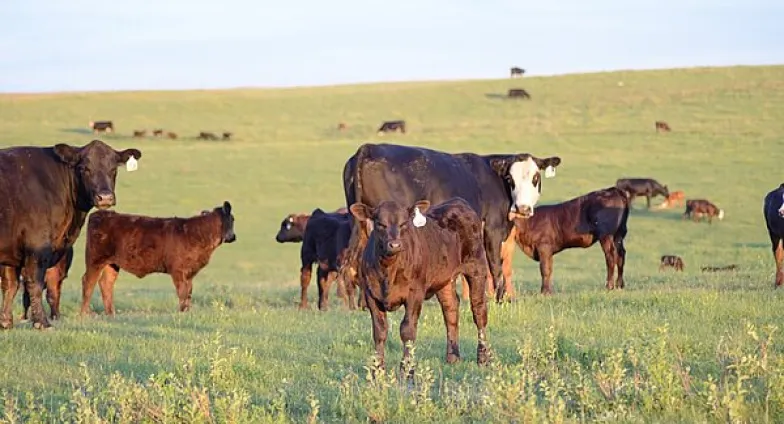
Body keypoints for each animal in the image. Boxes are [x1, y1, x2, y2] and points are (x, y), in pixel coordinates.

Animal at [0, 139, 142, 330]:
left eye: (114, 169)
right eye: (84, 168)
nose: (105, 197)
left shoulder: (12, 251)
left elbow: (10, 285)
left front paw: (6, 322)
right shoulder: (37, 246)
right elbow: (34, 283)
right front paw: (42, 323)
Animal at [79, 201, 236, 316]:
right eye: (232, 219)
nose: (233, 237)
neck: (197, 233)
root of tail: (102, 214)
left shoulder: (190, 272)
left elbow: (189, 293)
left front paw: (187, 312)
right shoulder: (178, 270)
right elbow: (183, 292)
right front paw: (182, 313)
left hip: (112, 263)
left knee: (106, 283)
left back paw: (111, 314)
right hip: (95, 259)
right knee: (88, 282)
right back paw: (84, 314)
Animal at [341, 143, 562, 304]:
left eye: (535, 177)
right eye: (510, 178)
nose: (523, 208)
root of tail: (368, 148)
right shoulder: (493, 228)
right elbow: (495, 266)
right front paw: (498, 299)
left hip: (360, 223)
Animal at [349, 197, 492, 372]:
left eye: (404, 223)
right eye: (380, 224)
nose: (394, 245)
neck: (388, 270)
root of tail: (458, 202)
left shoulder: (415, 293)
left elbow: (407, 330)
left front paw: (407, 370)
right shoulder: (371, 295)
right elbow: (379, 331)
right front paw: (378, 370)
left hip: (477, 267)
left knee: (479, 311)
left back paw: (483, 359)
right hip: (443, 279)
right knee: (450, 309)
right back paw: (452, 357)